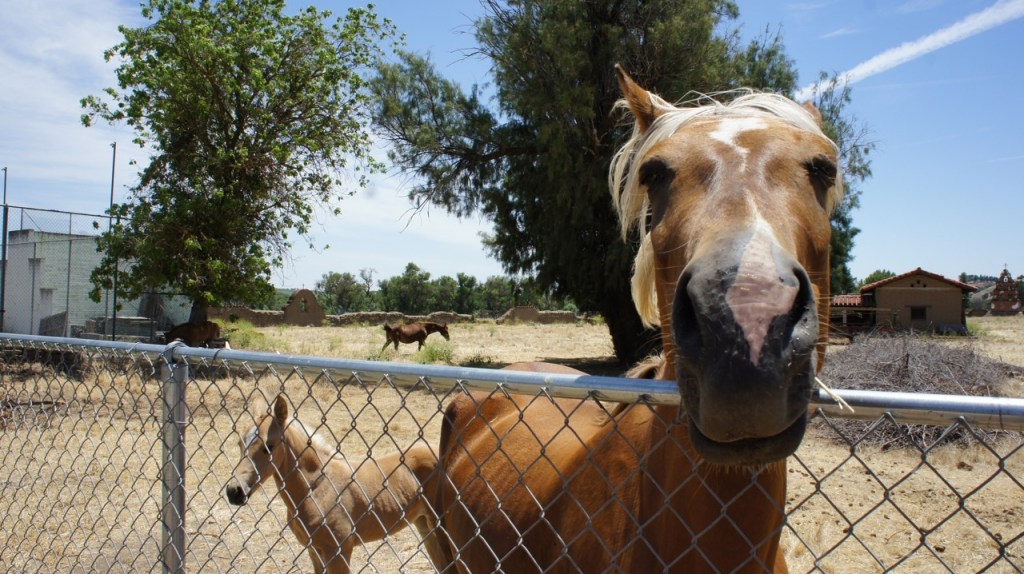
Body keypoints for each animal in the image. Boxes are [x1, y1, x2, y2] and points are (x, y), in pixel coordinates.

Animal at [223, 395, 451, 574]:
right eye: (240, 443)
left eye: (269, 447)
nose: (234, 491)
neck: (316, 487)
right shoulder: (314, 550)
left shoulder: (339, 550)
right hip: (426, 526)